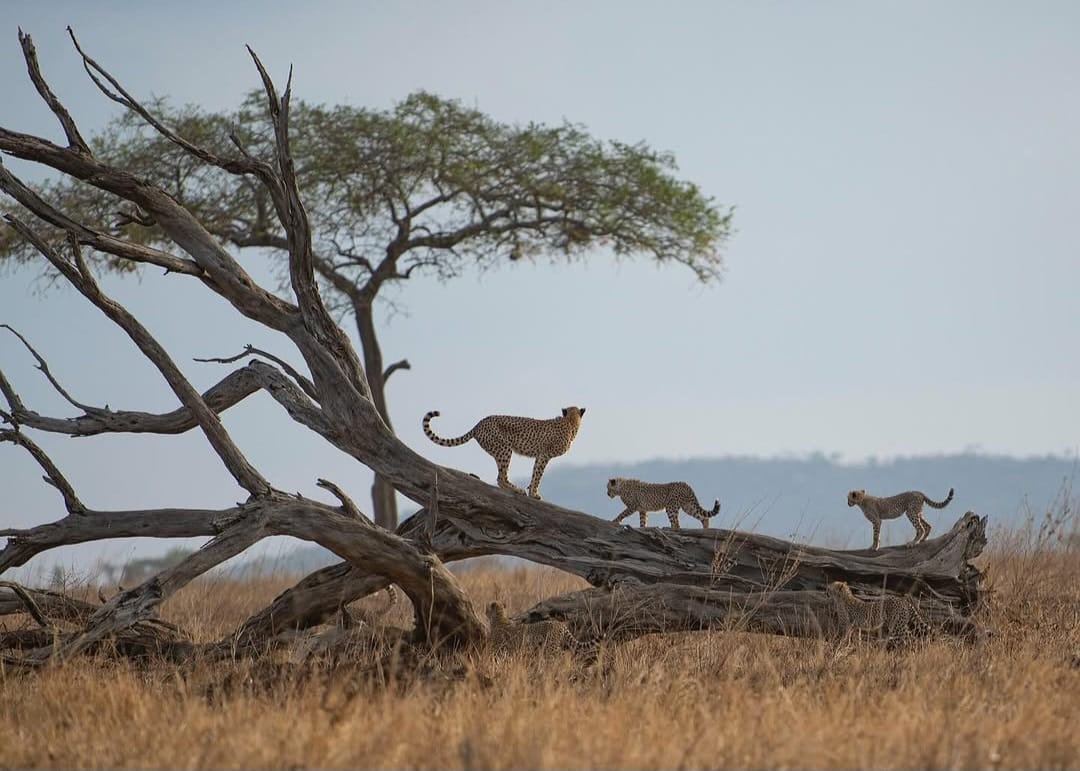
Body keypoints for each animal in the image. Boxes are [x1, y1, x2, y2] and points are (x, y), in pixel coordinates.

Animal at [423, 406, 585, 499]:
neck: (570, 421)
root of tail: (479, 423)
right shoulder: (545, 455)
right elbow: (538, 475)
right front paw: (534, 494)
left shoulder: (540, 455)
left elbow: (534, 473)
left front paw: (532, 491)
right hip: (504, 449)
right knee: (501, 477)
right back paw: (517, 490)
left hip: (499, 450)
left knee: (501, 476)